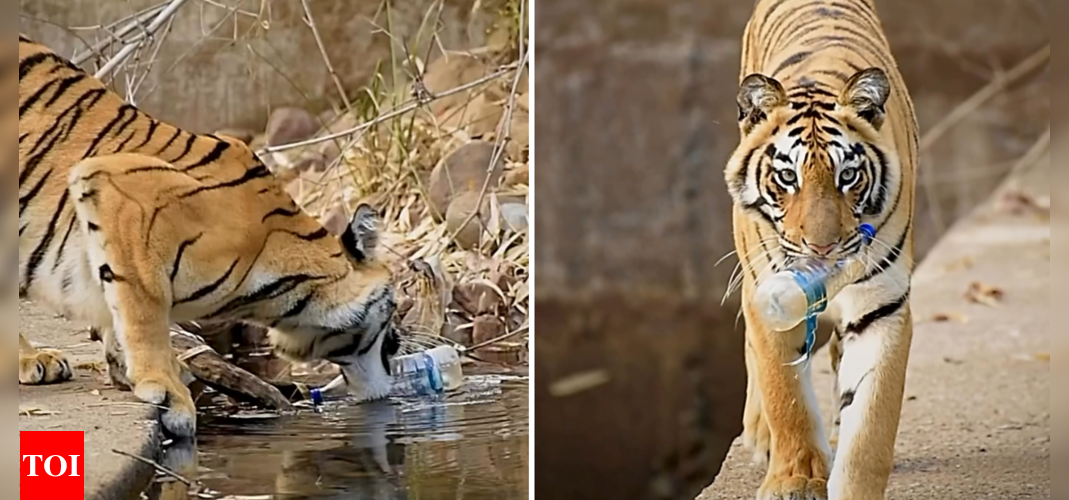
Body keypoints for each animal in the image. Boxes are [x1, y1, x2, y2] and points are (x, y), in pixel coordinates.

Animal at [18, 35, 401, 438]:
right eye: (393, 309)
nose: (397, 343)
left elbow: (116, 307)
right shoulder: (117, 192)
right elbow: (143, 310)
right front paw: (167, 391)